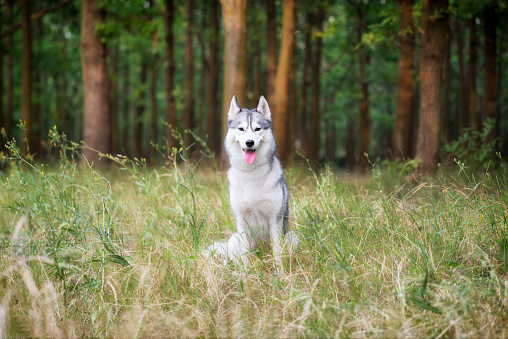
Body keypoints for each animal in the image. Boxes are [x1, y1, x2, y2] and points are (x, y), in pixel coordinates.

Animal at [203, 96, 298, 274]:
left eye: (257, 129)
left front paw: (280, 275)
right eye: (241, 129)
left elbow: (277, 253)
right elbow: (245, 254)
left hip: (291, 237)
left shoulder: (274, 220)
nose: (249, 142)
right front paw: (247, 276)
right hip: (234, 239)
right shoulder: (242, 222)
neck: (251, 173)